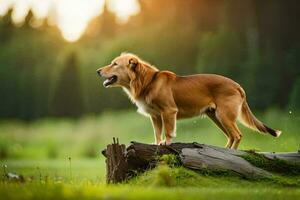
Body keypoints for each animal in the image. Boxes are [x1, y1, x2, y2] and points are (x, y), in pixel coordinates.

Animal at [96, 52, 282, 149]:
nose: (97, 71)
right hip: (216, 117)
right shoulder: (155, 116)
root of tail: (238, 86)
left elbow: (168, 131)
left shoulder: (169, 112)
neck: (148, 81)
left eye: (114, 64)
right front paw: (156, 143)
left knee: (237, 135)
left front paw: (166, 143)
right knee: (231, 136)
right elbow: (157, 133)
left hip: (224, 115)